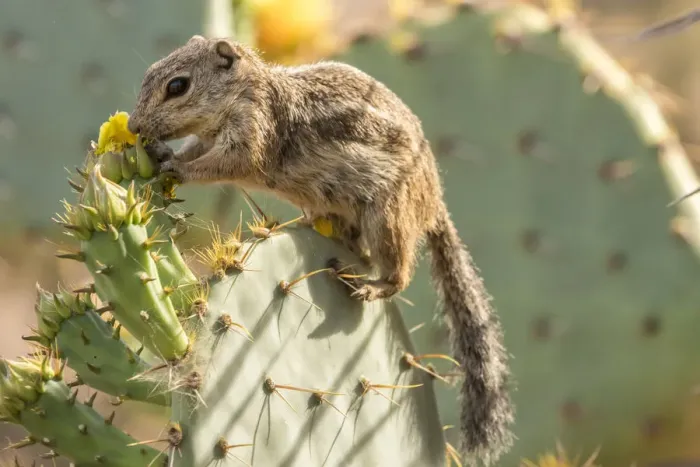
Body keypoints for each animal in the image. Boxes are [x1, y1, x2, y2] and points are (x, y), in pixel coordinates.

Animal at [128, 35, 514, 465]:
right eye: (149, 74)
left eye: (177, 86)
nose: (133, 127)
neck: (249, 91)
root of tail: (433, 202)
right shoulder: (208, 136)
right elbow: (196, 149)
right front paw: (165, 155)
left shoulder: (254, 132)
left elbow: (226, 164)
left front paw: (176, 168)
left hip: (388, 216)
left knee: (399, 270)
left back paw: (372, 287)